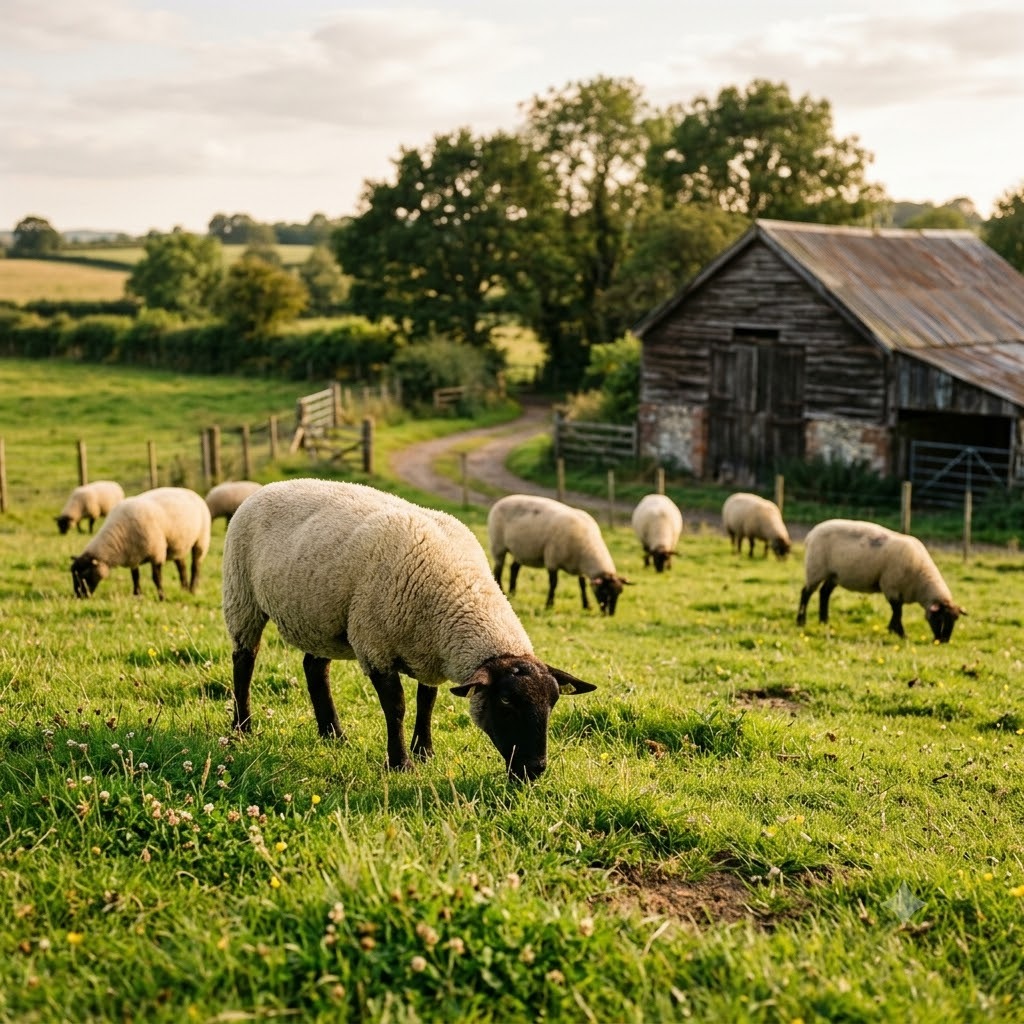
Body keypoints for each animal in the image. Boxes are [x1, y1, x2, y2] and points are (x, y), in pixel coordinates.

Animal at [70, 486, 211, 600]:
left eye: (85, 574)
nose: (79, 596)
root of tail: (191, 492)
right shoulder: (133, 556)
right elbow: (135, 577)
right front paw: (137, 595)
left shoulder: (156, 552)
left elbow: (156, 578)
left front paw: (162, 597)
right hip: (178, 544)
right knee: (181, 566)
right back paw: (184, 589)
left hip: (201, 540)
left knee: (195, 565)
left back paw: (192, 589)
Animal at [222, 479, 597, 780]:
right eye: (505, 701)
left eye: (553, 702)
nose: (535, 770)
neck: (461, 591)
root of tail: (269, 486)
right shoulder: (375, 647)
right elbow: (397, 707)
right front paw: (401, 762)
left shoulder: (428, 651)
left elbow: (426, 701)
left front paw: (424, 751)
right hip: (242, 594)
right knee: (244, 660)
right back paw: (242, 728)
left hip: (320, 618)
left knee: (315, 669)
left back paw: (334, 735)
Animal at [487, 494, 630, 615]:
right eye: (604, 591)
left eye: (619, 592)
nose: (610, 614)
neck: (586, 549)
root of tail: (502, 500)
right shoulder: (552, 560)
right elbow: (553, 583)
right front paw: (549, 605)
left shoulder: (579, 568)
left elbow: (582, 585)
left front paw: (586, 606)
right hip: (498, 546)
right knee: (498, 569)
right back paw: (503, 591)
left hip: (521, 550)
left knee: (514, 568)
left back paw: (513, 592)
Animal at [796, 518, 965, 642]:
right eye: (940, 618)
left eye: (955, 620)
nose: (943, 641)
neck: (921, 580)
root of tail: (812, 533)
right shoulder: (891, 587)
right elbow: (898, 611)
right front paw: (900, 633)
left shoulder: (897, 590)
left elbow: (897, 611)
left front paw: (893, 630)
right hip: (815, 569)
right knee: (806, 593)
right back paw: (801, 621)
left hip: (834, 574)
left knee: (824, 593)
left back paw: (824, 621)